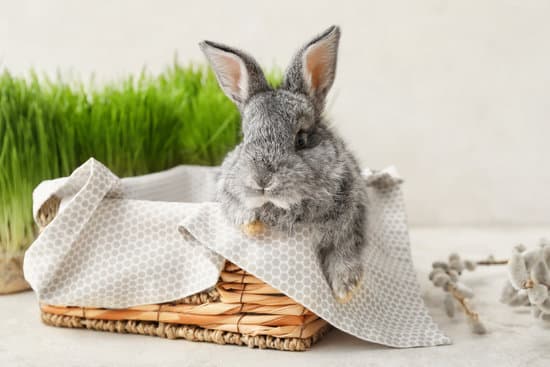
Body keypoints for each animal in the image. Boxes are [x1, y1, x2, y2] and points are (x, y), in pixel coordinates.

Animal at [201, 25, 368, 302]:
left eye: (301, 139)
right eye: (244, 138)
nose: (262, 180)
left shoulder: (351, 220)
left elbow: (344, 250)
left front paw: (345, 290)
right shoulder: (227, 191)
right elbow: (237, 207)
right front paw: (252, 225)